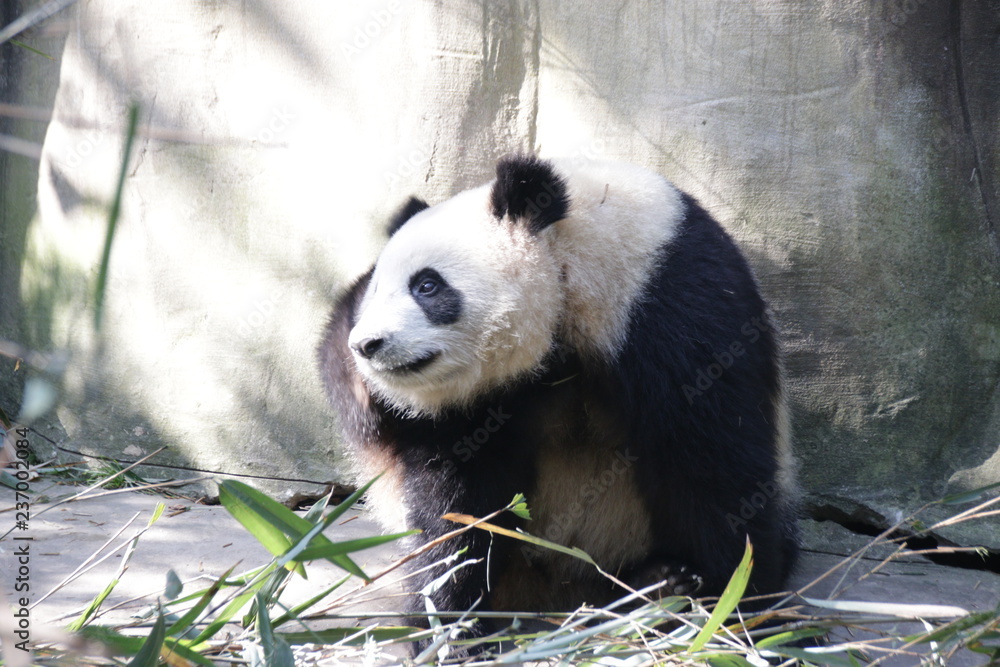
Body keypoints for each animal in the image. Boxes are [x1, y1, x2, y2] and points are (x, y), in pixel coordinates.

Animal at [318, 154, 798, 641]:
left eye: (427, 286)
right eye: (378, 290)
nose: (368, 345)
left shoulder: (671, 301)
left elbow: (712, 462)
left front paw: (736, 607)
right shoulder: (470, 407)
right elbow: (456, 504)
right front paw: (450, 623)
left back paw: (657, 586)